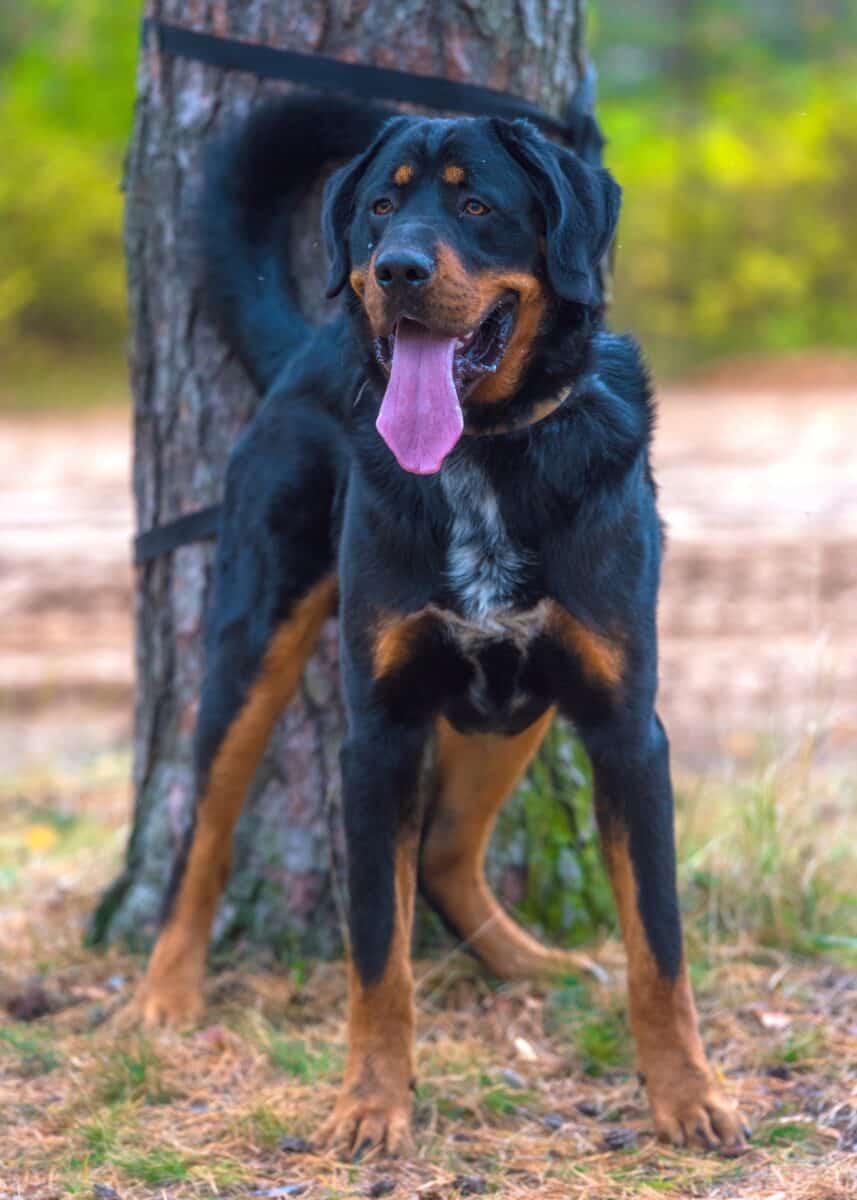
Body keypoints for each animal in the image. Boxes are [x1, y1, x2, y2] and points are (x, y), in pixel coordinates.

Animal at [130, 88, 744, 1156]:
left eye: (475, 206)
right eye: (381, 206)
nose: (396, 271)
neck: (485, 453)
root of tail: (305, 347)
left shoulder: (625, 727)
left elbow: (657, 942)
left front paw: (685, 1094)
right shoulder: (378, 732)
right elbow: (379, 951)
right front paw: (371, 1104)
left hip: (519, 706)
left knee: (450, 851)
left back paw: (533, 964)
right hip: (253, 645)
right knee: (203, 834)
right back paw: (167, 993)